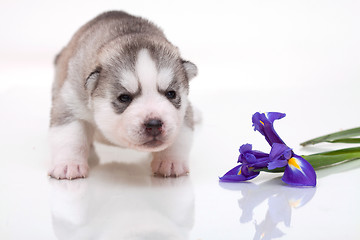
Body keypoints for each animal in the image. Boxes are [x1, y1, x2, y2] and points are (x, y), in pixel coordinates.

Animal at [48, 11, 197, 180]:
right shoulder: (71, 103)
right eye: (124, 98)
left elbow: (180, 139)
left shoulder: (184, 112)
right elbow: (69, 136)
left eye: (171, 94)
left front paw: (171, 162)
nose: (154, 124)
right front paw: (68, 164)